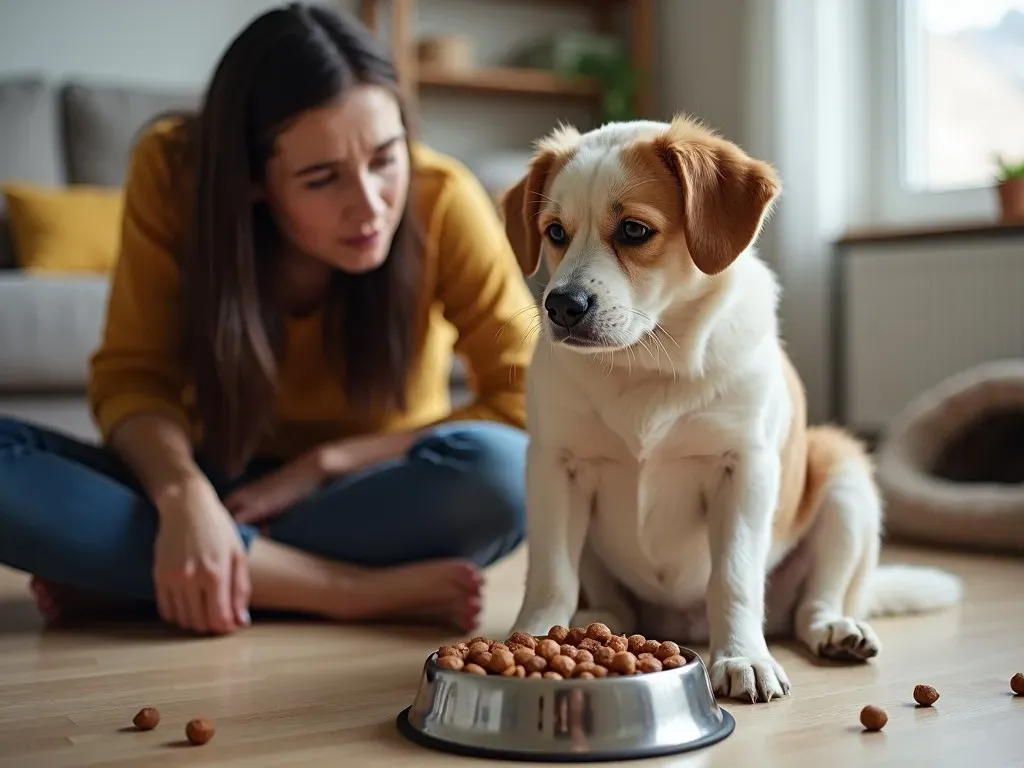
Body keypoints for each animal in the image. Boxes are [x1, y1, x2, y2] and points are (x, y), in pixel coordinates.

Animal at [499, 114, 962, 704]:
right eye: (555, 232)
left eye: (634, 231)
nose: (561, 306)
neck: (648, 362)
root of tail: (683, 625)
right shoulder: (554, 467)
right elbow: (550, 574)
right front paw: (533, 637)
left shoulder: (744, 468)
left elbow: (735, 579)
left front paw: (743, 656)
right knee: (610, 603)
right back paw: (593, 619)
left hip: (844, 478)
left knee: (813, 605)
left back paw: (835, 630)